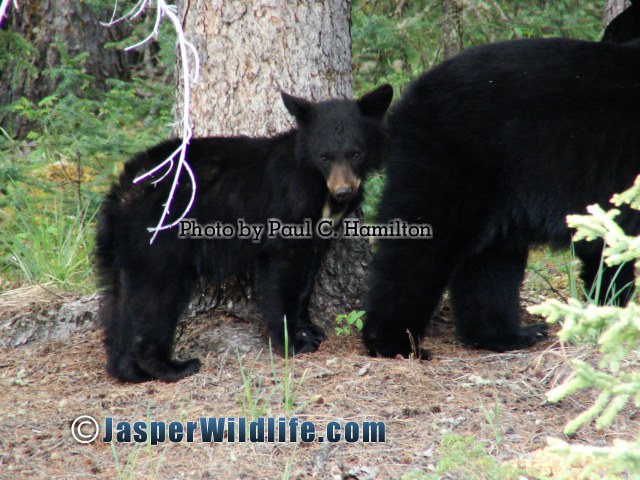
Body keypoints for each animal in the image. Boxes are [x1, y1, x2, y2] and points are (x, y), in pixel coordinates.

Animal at [97, 83, 392, 382]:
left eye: (355, 153)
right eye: (324, 156)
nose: (343, 192)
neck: (318, 183)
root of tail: (125, 191)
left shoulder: (318, 232)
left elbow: (306, 280)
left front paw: (309, 328)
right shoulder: (288, 208)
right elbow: (282, 275)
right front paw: (294, 342)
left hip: (121, 248)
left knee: (119, 301)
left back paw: (127, 370)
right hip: (161, 240)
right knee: (157, 298)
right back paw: (172, 366)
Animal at [362, 37, 640, 358]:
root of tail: (410, 98)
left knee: (490, 263)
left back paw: (508, 335)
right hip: (453, 160)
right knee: (420, 246)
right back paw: (395, 343)